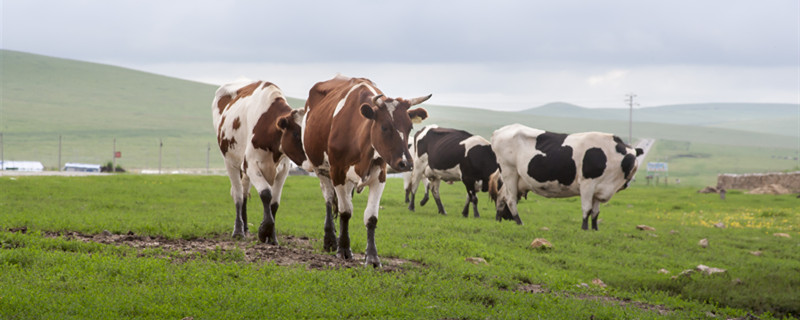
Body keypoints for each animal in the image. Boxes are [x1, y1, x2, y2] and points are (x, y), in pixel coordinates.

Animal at [212, 79, 306, 242]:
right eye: (295, 133)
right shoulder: (251, 165)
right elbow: (266, 194)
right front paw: (264, 230)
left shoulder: (283, 170)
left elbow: (274, 203)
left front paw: (272, 236)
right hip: (230, 162)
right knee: (238, 195)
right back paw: (238, 231)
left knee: (244, 193)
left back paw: (245, 227)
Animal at [302, 75, 428, 268]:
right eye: (384, 127)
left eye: (410, 128)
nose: (406, 163)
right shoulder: (337, 173)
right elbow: (345, 212)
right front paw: (344, 249)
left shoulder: (380, 177)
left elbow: (371, 217)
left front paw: (372, 257)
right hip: (320, 169)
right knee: (329, 199)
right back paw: (330, 240)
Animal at [488, 123, 644, 230]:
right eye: (630, 159)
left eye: (635, 158)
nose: (633, 168)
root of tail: (499, 131)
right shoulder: (587, 184)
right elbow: (587, 209)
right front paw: (584, 229)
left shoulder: (599, 189)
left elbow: (595, 212)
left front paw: (595, 229)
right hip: (509, 172)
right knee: (510, 200)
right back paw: (520, 222)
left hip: (514, 179)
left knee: (501, 197)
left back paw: (498, 220)